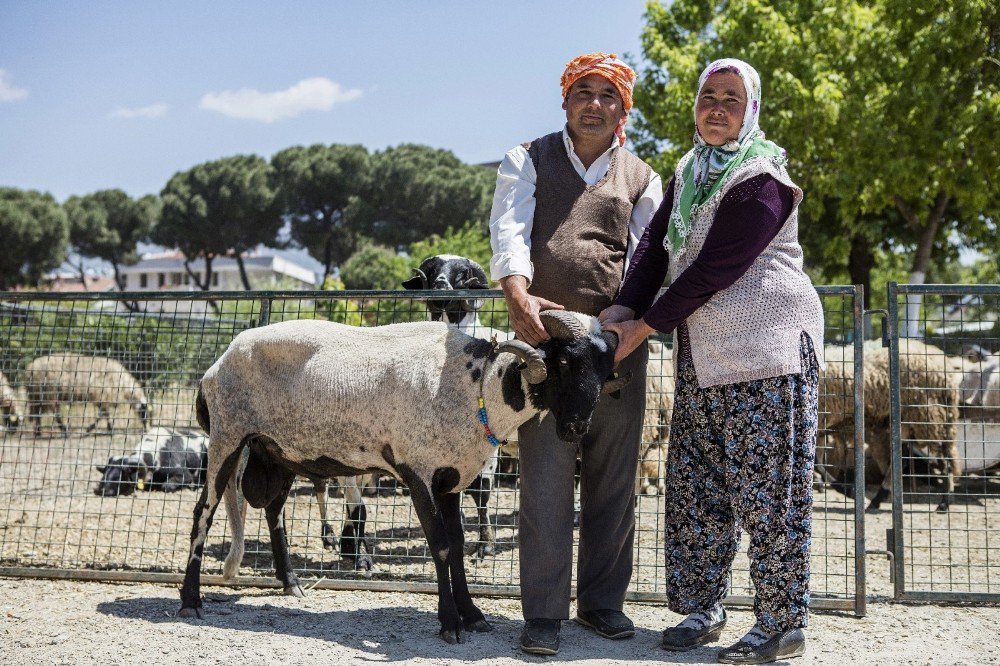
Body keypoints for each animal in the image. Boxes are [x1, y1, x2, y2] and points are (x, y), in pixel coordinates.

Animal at [180, 308, 628, 640]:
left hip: (277, 451)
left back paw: (291, 583)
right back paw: (190, 601)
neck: (477, 385)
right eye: (566, 360)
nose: (576, 429)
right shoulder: (418, 474)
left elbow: (458, 546)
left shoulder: (451, 479)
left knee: (274, 511)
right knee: (204, 512)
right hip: (227, 435)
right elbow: (441, 546)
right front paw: (450, 624)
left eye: (606, 371)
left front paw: (473, 615)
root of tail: (215, 367)